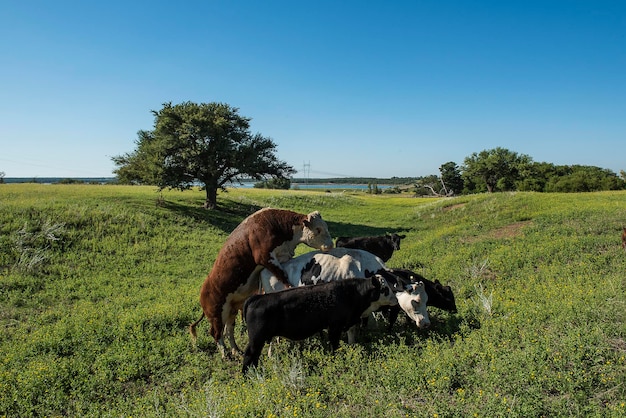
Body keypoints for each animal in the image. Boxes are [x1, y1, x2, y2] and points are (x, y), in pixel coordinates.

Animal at [189, 207, 332, 358]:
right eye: (318, 229)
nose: (330, 245)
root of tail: (203, 291)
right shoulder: (265, 257)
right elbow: (282, 275)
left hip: (231, 310)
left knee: (229, 330)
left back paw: (236, 350)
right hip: (217, 313)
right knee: (216, 333)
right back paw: (225, 355)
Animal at [244, 276, 390, 370]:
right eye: (385, 288)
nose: (394, 297)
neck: (350, 292)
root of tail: (257, 298)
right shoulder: (335, 327)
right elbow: (333, 345)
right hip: (257, 339)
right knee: (249, 355)